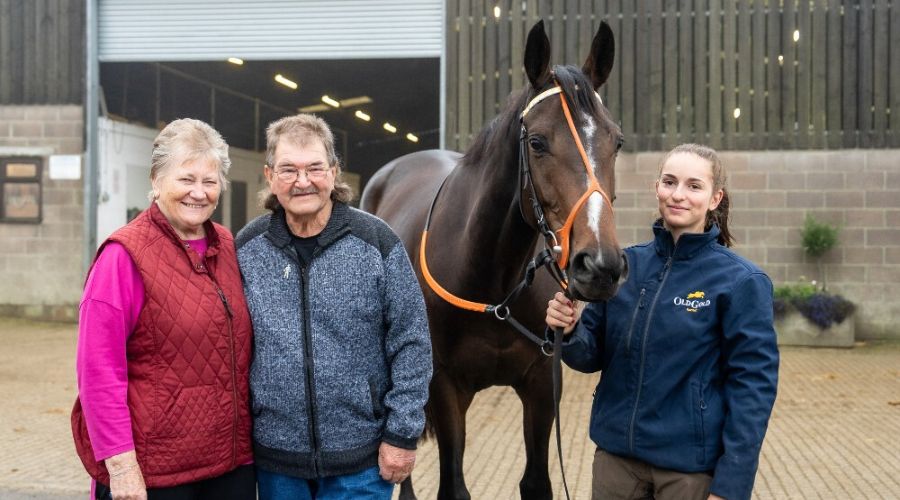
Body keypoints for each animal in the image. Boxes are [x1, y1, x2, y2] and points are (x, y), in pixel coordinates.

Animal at [362, 20, 624, 500]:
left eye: (616, 141)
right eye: (537, 142)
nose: (599, 266)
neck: (493, 281)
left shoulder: (541, 383)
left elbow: (536, 481)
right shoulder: (444, 384)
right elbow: (452, 485)